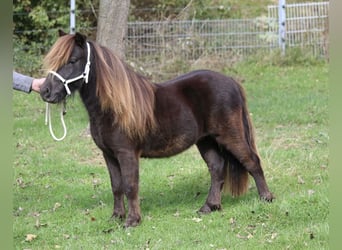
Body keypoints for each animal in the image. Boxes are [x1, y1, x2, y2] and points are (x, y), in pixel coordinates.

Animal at [40, 30, 276, 228]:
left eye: (72, 60)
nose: (45, 91)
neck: (114, 108)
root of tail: (232, 82)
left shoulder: (126, 153)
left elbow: (130, 186)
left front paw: (132, 221)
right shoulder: (108, 154)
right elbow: (116, 186)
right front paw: (116, 216)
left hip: (229, 135)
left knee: (251, 161)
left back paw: (266, 198)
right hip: (206, 140)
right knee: (217, 169)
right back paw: (209, 207)